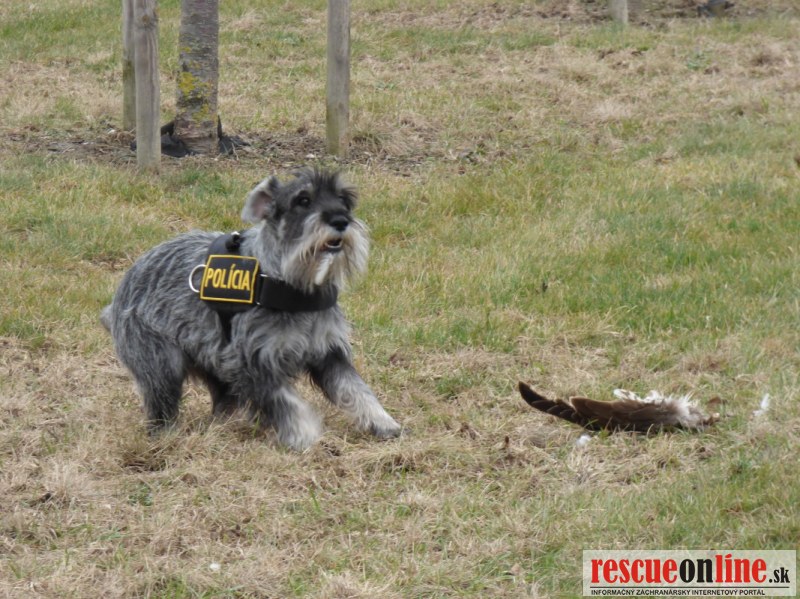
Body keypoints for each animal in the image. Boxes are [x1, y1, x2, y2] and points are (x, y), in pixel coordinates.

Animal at [101, 168, 402, 450]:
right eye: (303, 200)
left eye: (344, 200)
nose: (341, 221)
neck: (291, 285)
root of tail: (121, 292)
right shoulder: (253, 363)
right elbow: (286, 402)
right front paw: (304, 436)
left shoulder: (329, 354)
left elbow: (356, 389)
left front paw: (382, 421)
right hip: (162, 365)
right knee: (162, 404)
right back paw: (166, 436)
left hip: (212, 361)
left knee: (222, 401)